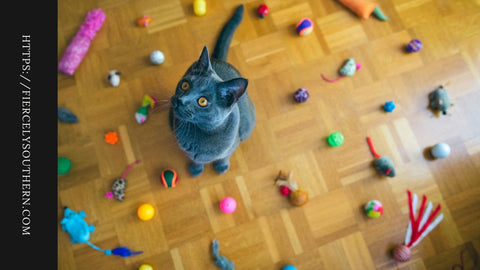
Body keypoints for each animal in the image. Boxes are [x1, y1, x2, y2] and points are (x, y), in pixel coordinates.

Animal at [168, 4, 255, 177]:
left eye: (203, 101)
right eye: (185, 85)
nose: (180, 100)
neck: (199, 131)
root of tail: (218, 59)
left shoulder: (233, 144)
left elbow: (224, 156)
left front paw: (221, 166)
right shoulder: (189, 152)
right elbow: (195, 159)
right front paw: (196, 169)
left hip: (248, 124)